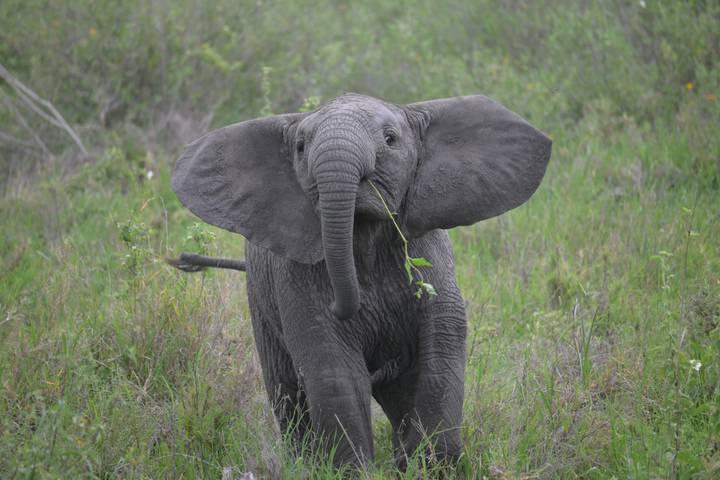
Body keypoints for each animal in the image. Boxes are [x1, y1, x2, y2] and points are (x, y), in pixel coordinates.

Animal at [170, 93, 551, 469]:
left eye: (390, 140)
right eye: (301, 147)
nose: (343, 304)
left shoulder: (430, 258)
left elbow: (441, 347)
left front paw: (433, 467)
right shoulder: (296, 276)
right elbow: (333, 365)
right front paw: (352, 470)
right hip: (259, 302)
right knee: (286, 391)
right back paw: (304, 463)